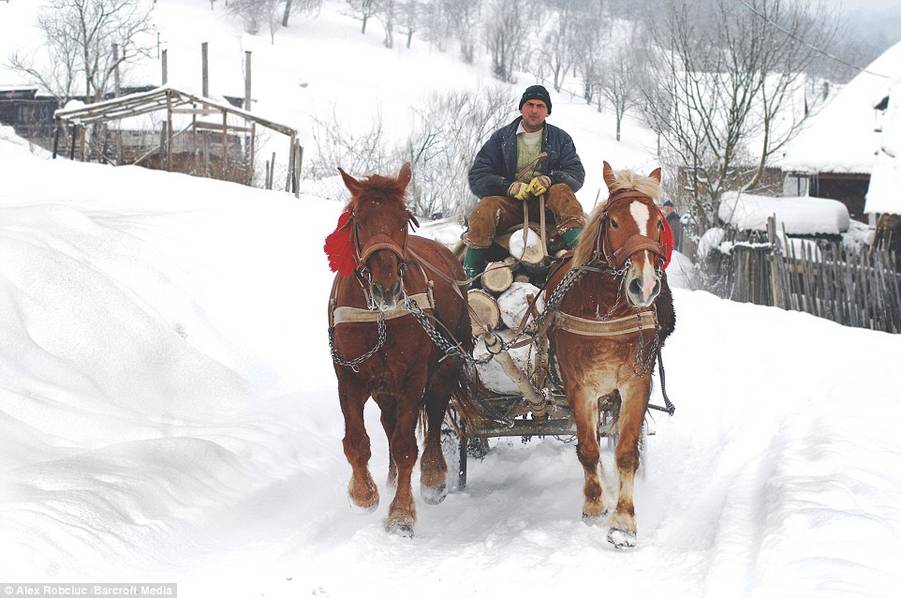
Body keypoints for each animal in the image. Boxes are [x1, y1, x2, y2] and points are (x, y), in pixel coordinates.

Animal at [328, 162, 472, 536]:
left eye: (403, 219)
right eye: (358, 221)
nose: (387, 286)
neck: (378, 315)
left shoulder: (411, 378)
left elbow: (407, 446)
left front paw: (402, 513)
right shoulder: (349, 378)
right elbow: (357, 442)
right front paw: (364, 494)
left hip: (445, 367)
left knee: (434, 417)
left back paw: (434, 476)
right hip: (383, 388)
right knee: (388, 423)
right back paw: (392, 479)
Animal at [544, 162, 672, 552]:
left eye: (657, 223)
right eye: (613, 222)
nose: (644, 286)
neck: (607, 313)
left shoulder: (636, 383)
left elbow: (627, 451)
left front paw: (623, 523)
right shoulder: (579, 387)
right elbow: (588, 448)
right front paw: (594, 503)